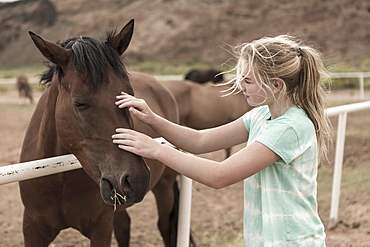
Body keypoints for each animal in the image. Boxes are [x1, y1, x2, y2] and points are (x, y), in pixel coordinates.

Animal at [19, 19, 181, 247]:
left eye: (130, 96)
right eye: (80, 103)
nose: (136, 179)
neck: (58, 179)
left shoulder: (100, 228)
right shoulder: (33, 228)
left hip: (164, 188)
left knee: (165, 227)